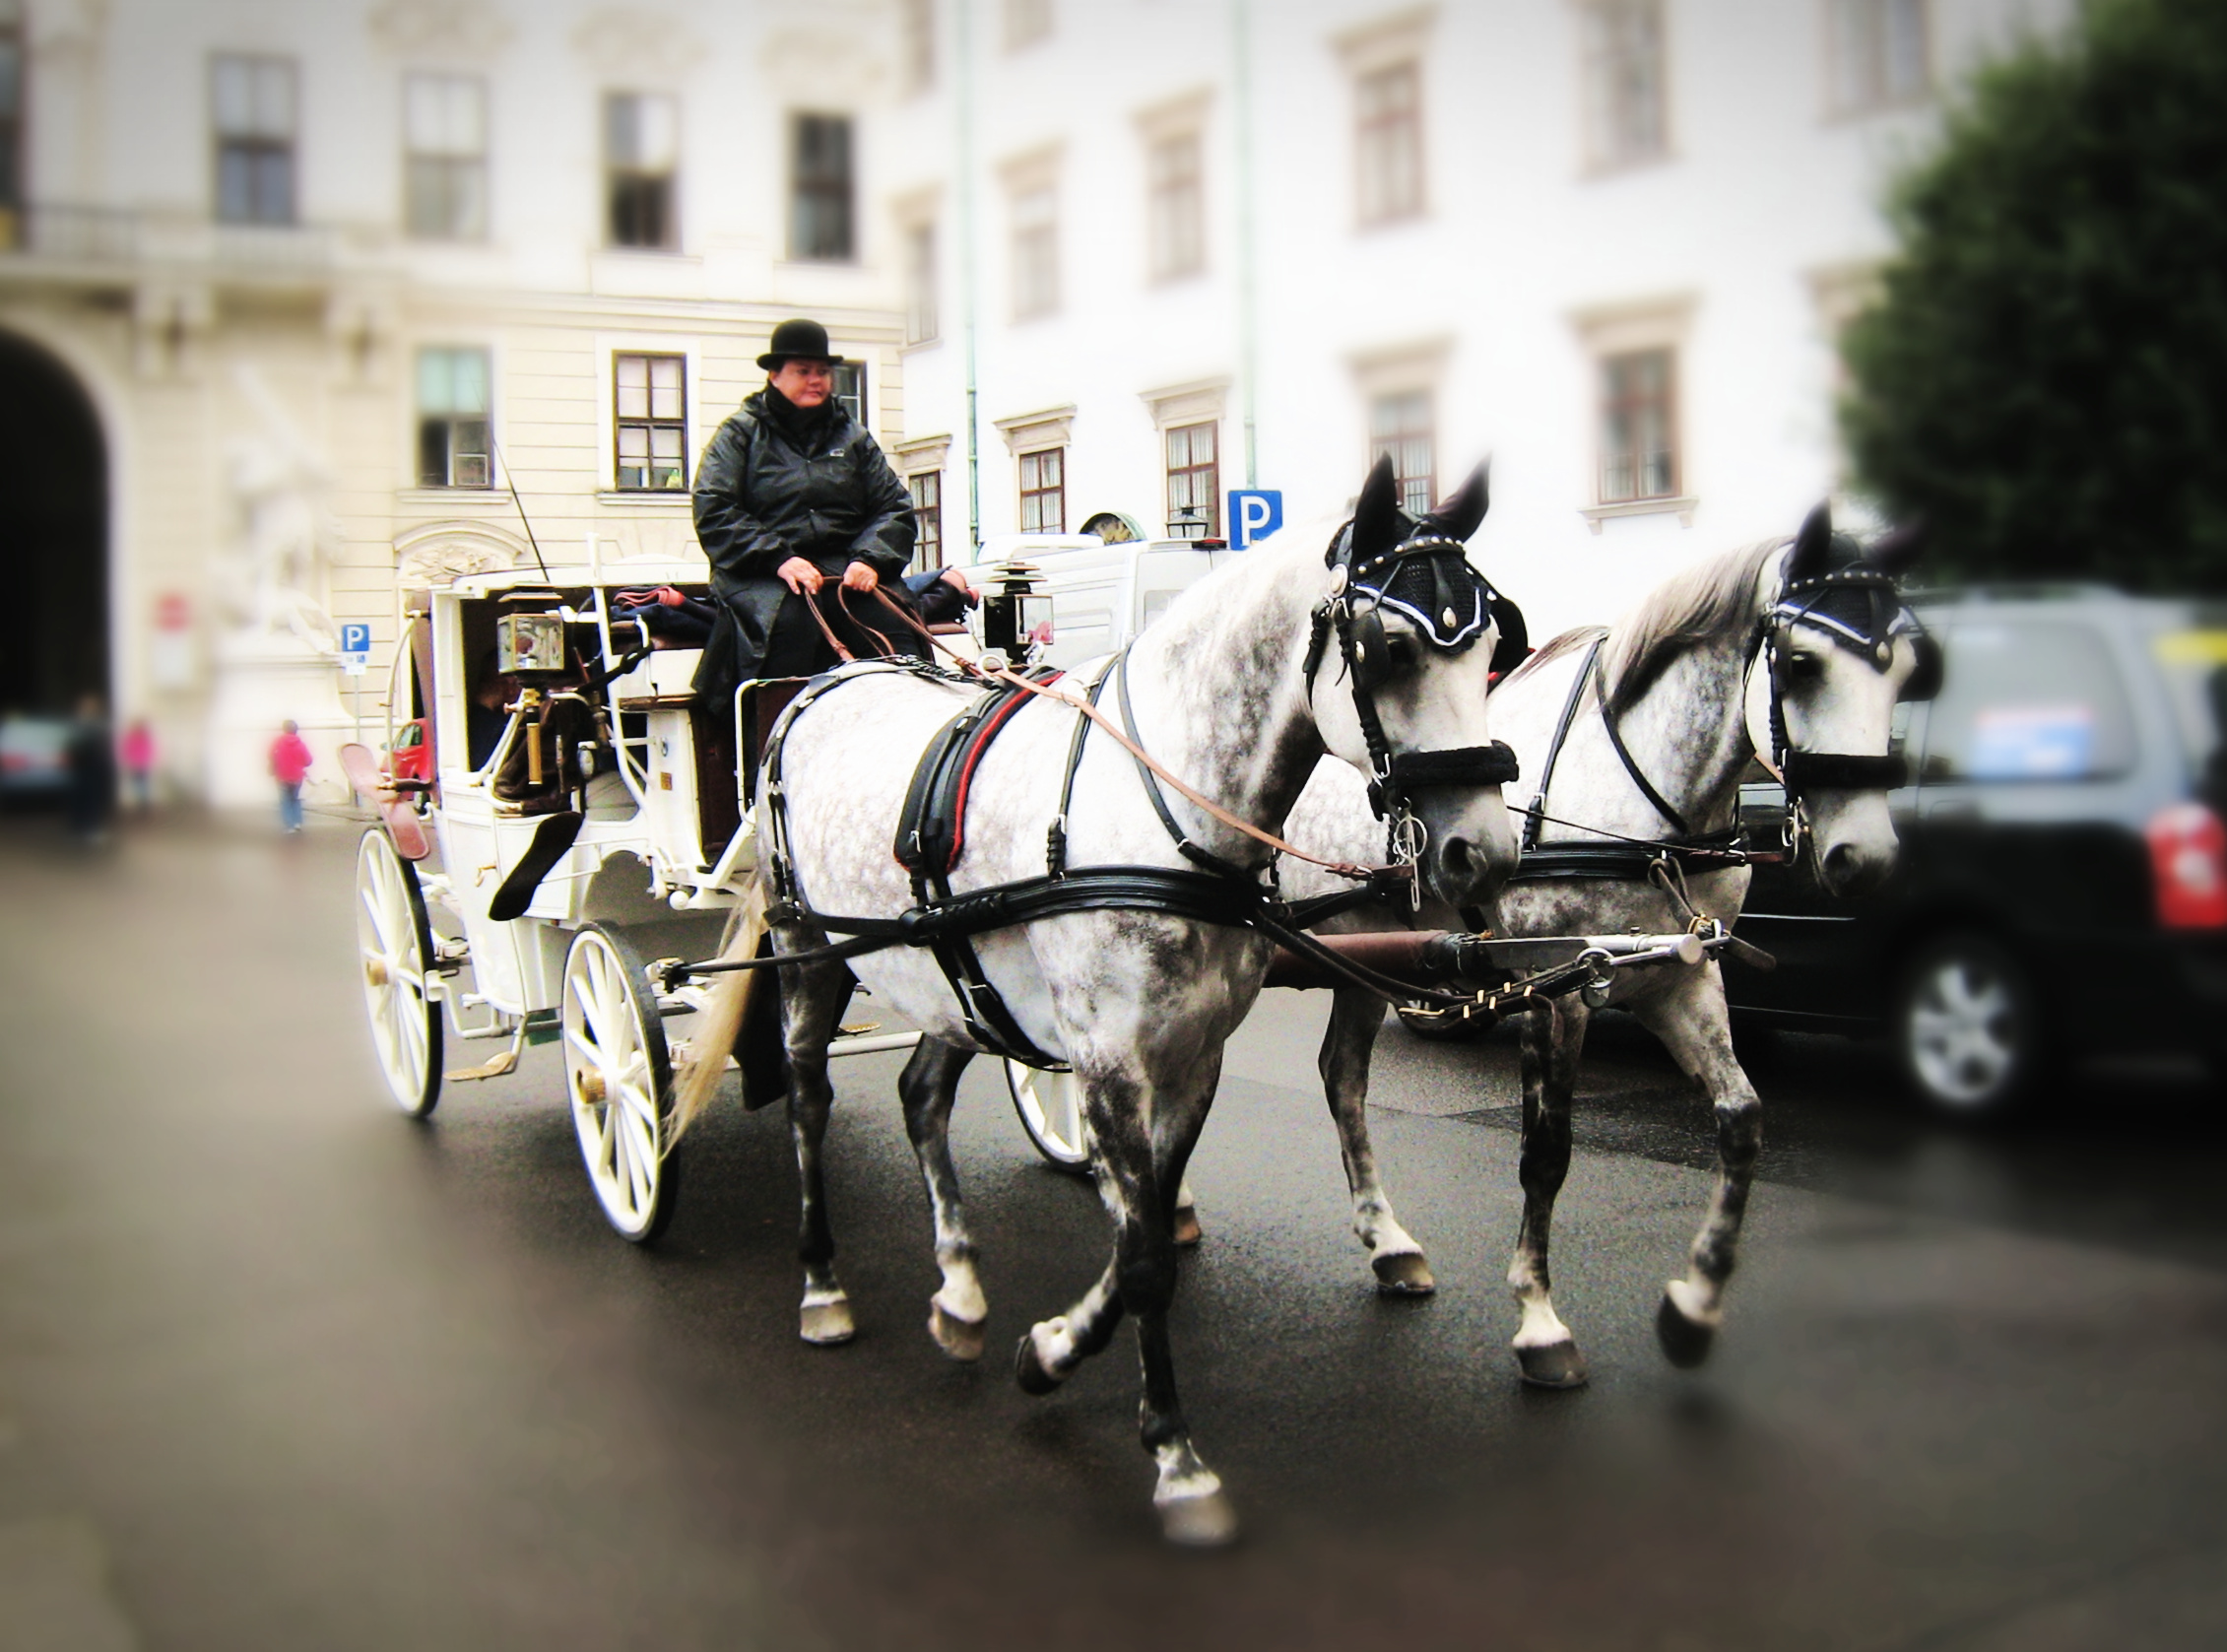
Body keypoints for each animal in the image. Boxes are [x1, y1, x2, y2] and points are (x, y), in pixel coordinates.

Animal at [672, 458, 1514, 1550]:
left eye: (1491, 644)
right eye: (1394, 647)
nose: (1481, 852)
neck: (1167, 808)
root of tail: (820, 684)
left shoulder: (1190, 1054)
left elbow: (1140, 1227)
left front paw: (1051, 1348)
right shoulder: (1111, 1060)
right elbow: (1145, 1252)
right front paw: (1173, 1455)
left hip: (953, 981)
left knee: (920, 1096)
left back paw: (958, 1288)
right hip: (812, 954)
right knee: (811, 1103)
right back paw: (822, 1284)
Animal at [1282, 511, 1924, 1389]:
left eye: (1908, 669)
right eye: (1801, 662)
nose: (1870, 856)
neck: (1640, 798)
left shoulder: (1680, 977)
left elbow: (1742, 1120)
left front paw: (1693, 1304)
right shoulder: (1554, 987)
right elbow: (1546, 1154)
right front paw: (1538, 1321)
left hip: (1363, 954)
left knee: (1341, 1078)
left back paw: (1388, 1244)